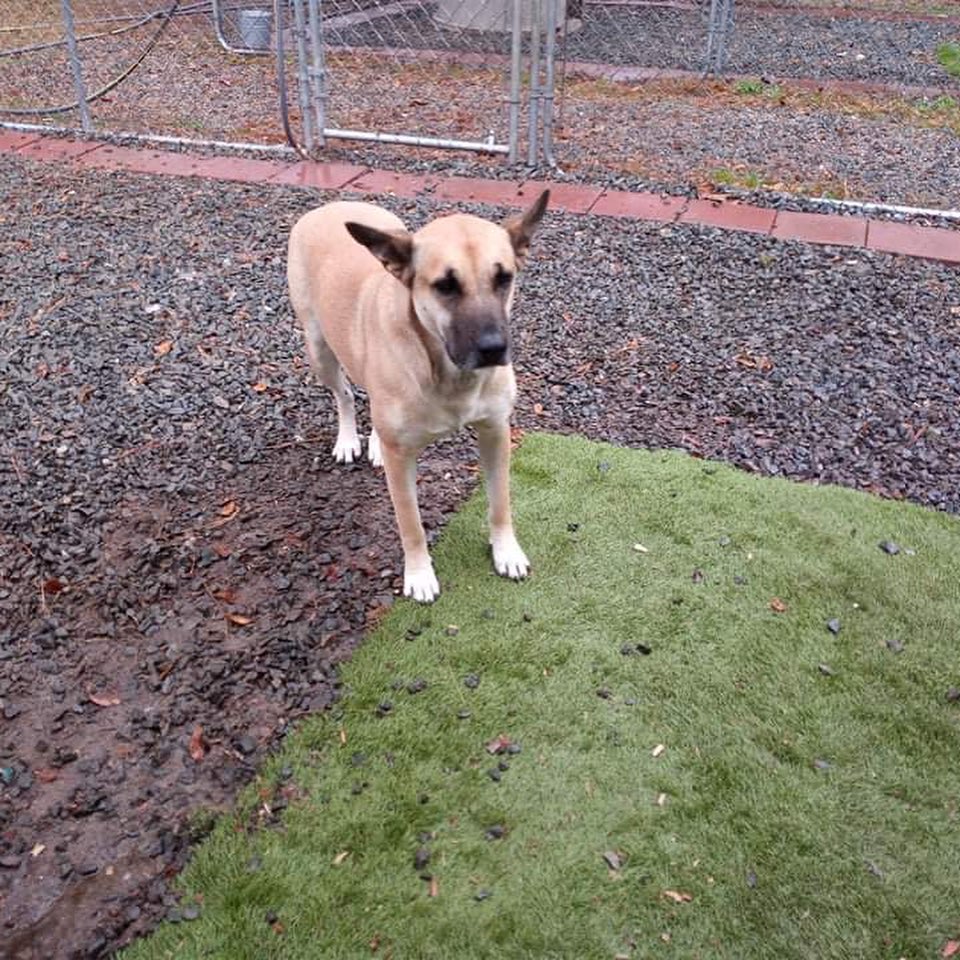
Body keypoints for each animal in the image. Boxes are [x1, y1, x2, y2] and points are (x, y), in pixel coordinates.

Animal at [284, 191, 548, 604]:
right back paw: (348, 439)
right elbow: (411, 524)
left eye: (504, 278)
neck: (447, 373)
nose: (493, 348)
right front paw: (420, 574)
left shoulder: (495, 432)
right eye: (445, 286)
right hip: (319, 350)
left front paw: (506, 551)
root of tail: (329, 206)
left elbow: (500, 502)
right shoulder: (401, 461)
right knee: (344, 394)